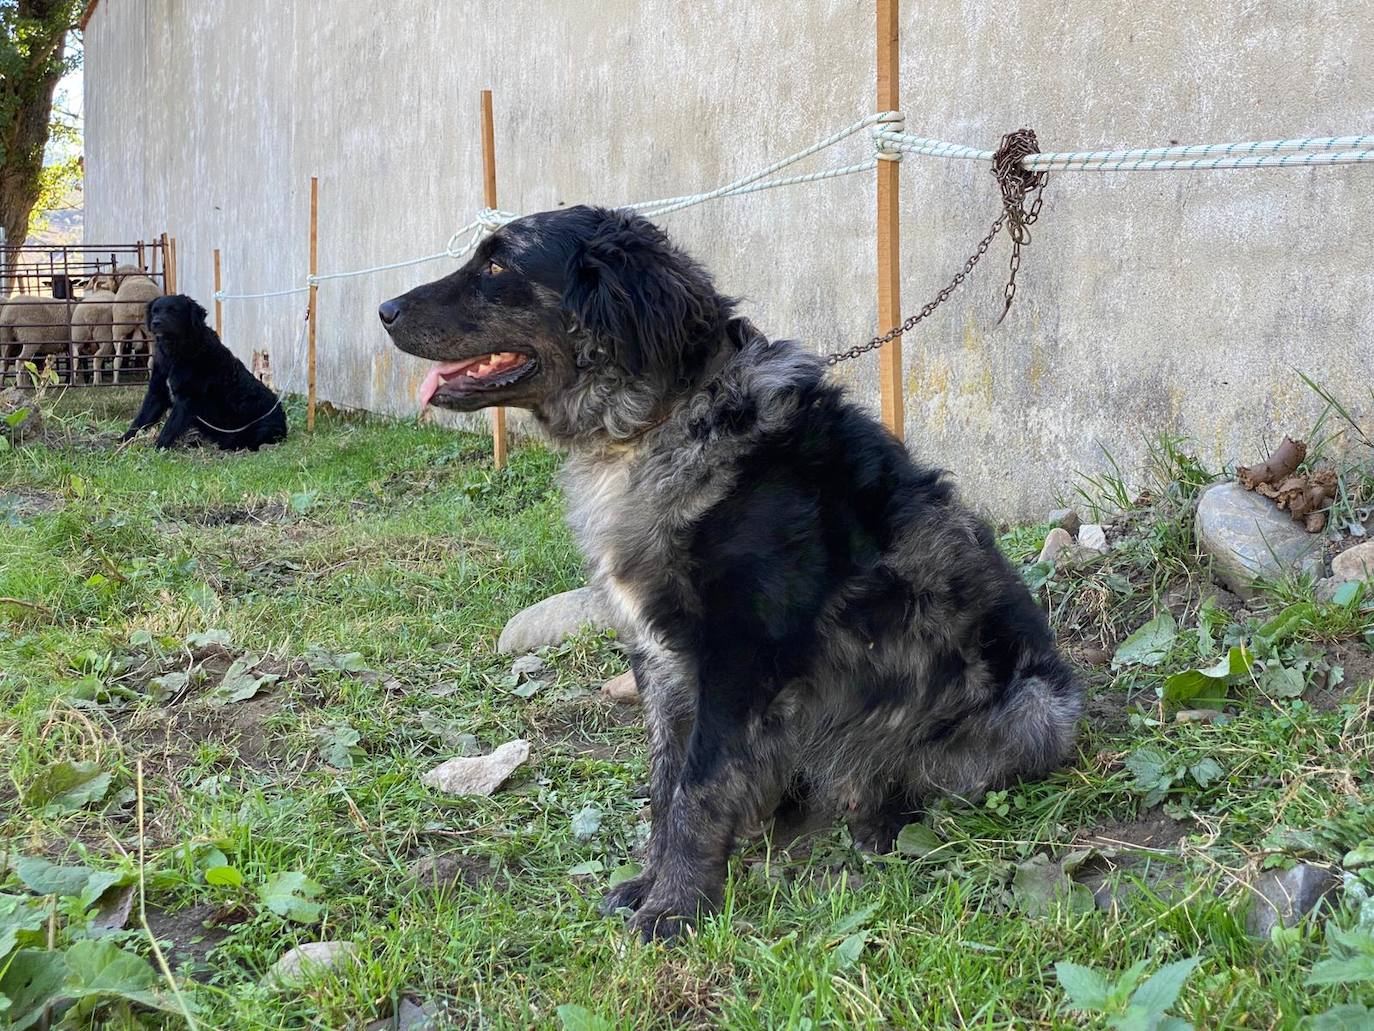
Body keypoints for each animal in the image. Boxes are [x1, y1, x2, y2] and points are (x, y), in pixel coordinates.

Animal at [119, 292, 285, 450]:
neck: (174, 355)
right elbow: (140, 420)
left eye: (173, 310)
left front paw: (158, 448)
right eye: (155, 311)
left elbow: (169, 428)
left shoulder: (187, 399)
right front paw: (122, 442)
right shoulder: (157, 392)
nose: (156, 322)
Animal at [379, 207, 1082, 945]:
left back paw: (877, 812)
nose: (384, 310)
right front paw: (652, 882)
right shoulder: (660, 658)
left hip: (1033, 708)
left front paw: (676, 905)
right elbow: (667, 783)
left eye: (497, 264)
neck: (659, 426)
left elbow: (700, 783)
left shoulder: (738, 654)